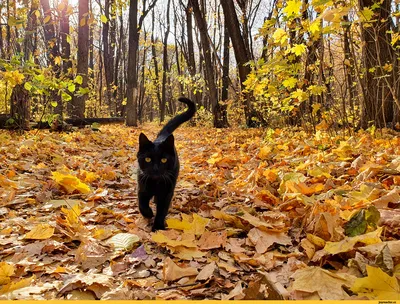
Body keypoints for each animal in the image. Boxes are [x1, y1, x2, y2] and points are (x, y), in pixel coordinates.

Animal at [137, 97, 196, 230]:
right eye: (148, 159)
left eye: (164, 160)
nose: (155, 168)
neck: (155, 183)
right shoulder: (142, 187)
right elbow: (142, 204)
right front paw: (148, 213)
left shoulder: (166, 193)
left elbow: (162, 211)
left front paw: (158, 227)